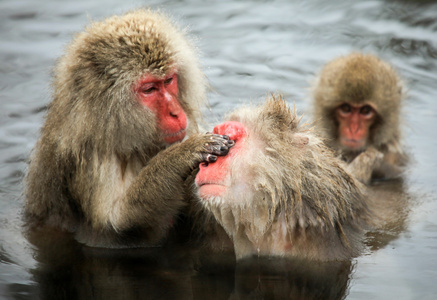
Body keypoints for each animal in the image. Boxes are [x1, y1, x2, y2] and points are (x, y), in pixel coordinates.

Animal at [23, 9, 233, 248]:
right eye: (149, 89)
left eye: (169, 80)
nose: (176, 112)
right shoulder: (93, 158)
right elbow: (116, 228)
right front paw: (183, 155)